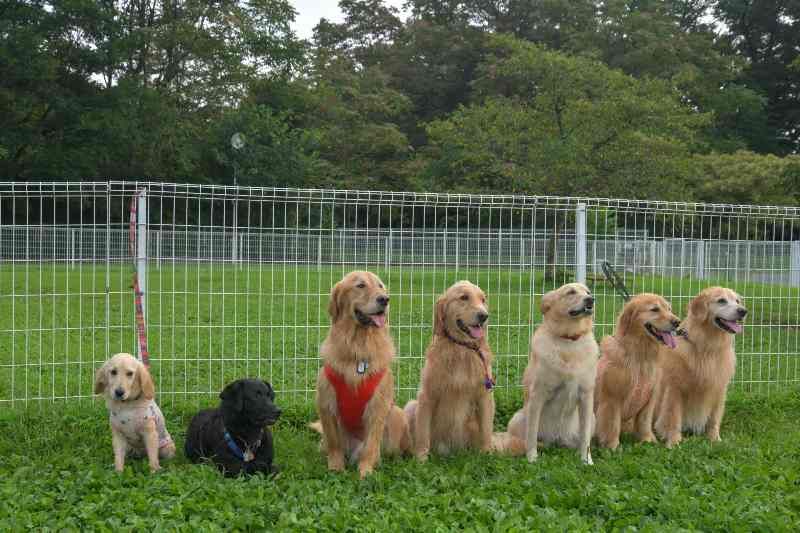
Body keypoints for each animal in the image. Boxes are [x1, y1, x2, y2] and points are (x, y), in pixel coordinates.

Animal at [506, 282, 592, 462]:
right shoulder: (538, 394)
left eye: (588, 292)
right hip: (518, 418)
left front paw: (586, 460)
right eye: (571, 292)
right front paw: (532, 459)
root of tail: (557, 440)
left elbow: (585, 438)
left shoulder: (586, 396)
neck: (569, 342)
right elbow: (531, 435)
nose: (591, 300)